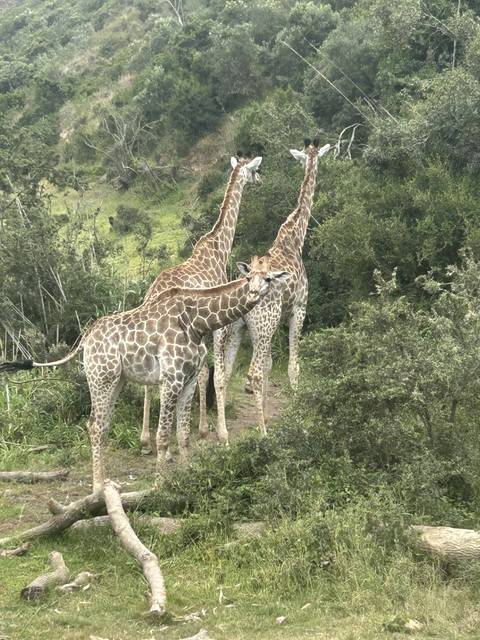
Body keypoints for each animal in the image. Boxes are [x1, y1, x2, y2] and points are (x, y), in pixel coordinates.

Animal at [0, 261, 290, 493]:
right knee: (96, 426)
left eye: (268, 279)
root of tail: (85, 338)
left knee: (100, 424)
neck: (197, 323)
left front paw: (189, 474)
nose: (253, 293)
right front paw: (159, 484)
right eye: (248, 277)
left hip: (116, 381)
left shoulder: (188, 381)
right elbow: (163, 436)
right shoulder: (170, 379)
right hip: (101, 377)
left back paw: (107, 483)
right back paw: (97, 487)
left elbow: (183, 434)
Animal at [140, 154, 262, 455]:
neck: (220, 249)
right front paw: (221, 433)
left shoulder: (202, 332)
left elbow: (204, 373)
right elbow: (217, 376)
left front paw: (201, 427)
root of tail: (151, 294)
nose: (261, 180)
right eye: (256, 169)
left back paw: (145, 440)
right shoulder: (220, 328)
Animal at [220, 138, 331, 435]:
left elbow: (271, 365)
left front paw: (269, 414)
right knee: (253, 372)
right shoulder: (298, 309)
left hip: (239, 328)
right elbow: (293, 366)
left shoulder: (276, 320)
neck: (295, 239)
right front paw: (297, 414)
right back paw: (263, 434)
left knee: (226, 373)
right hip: (263, 324)